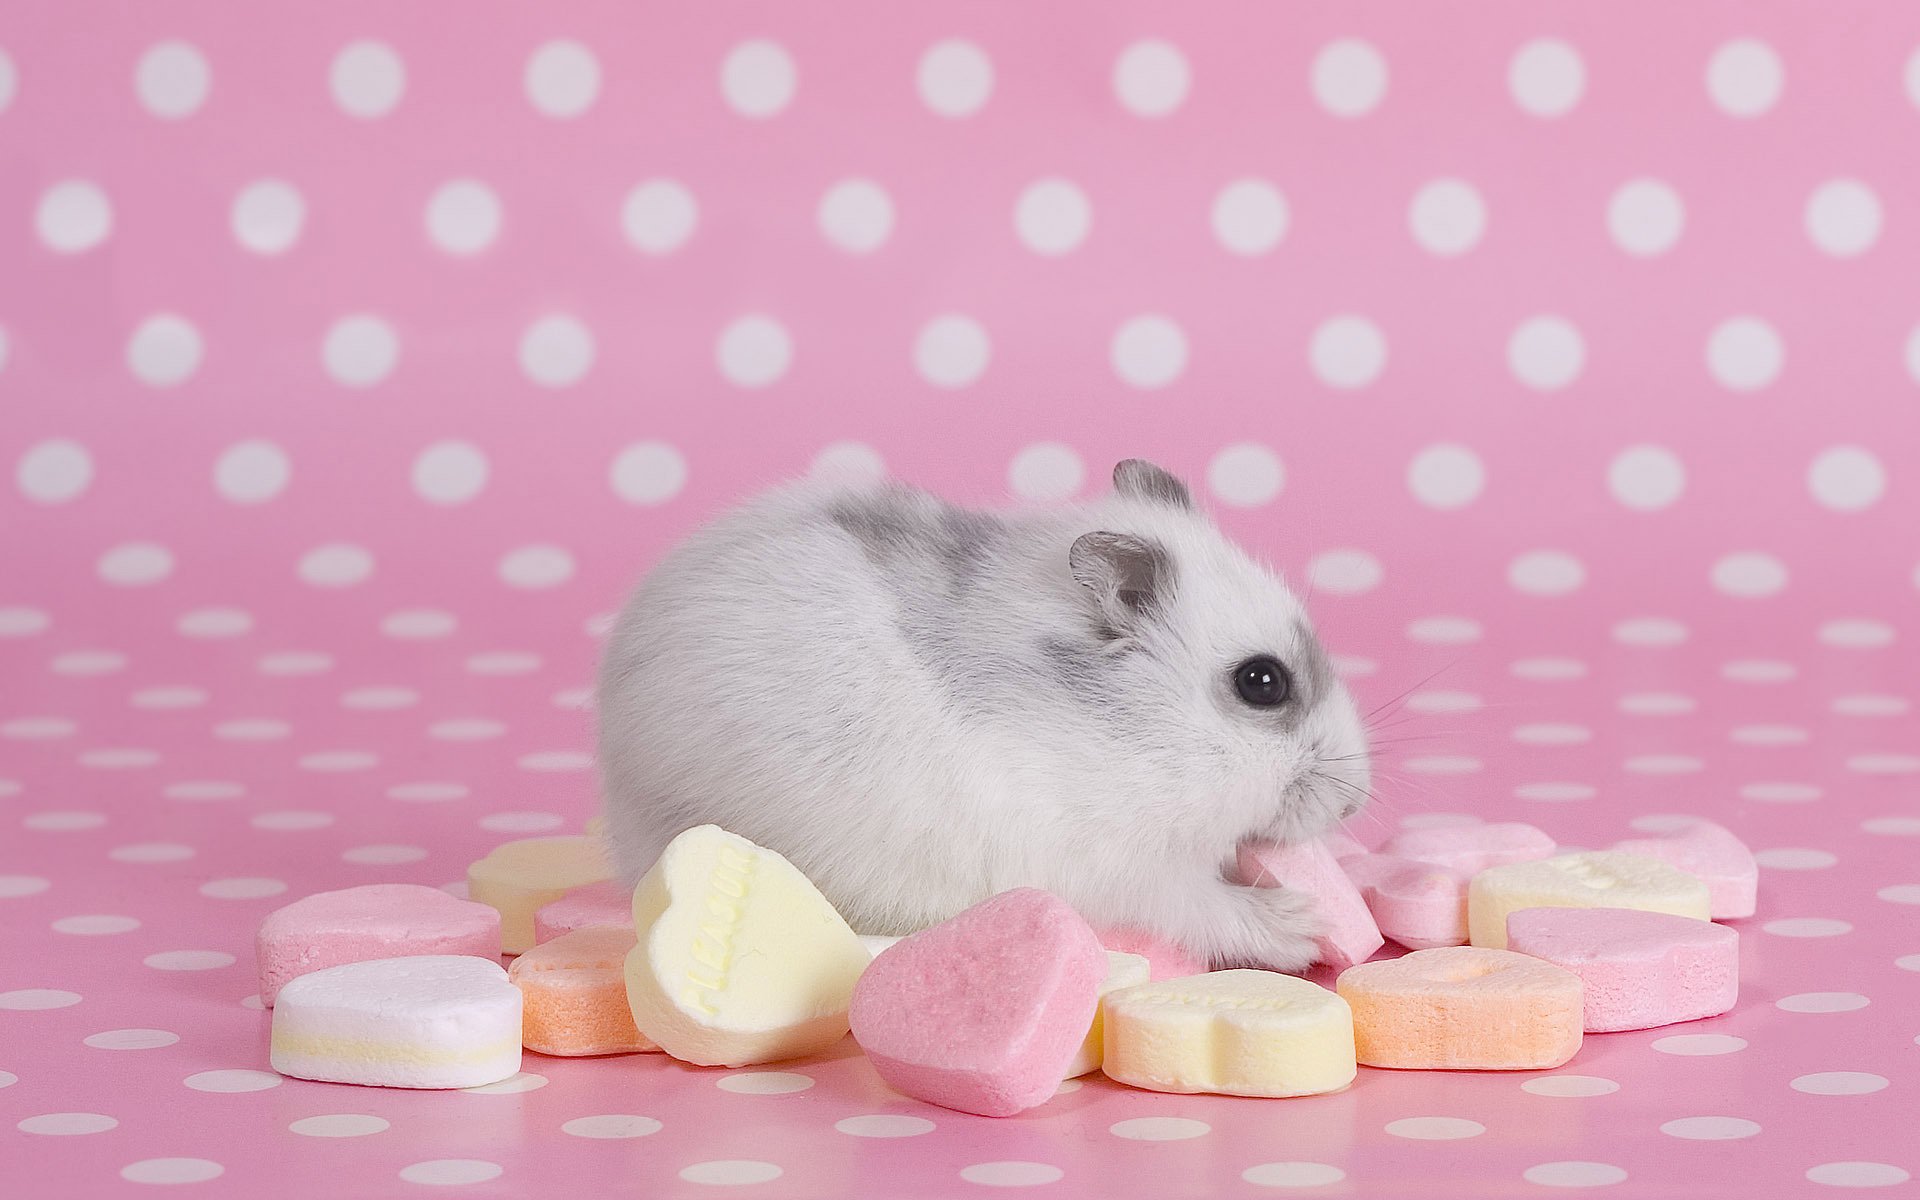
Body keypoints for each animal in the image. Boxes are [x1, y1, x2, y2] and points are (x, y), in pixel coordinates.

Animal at [595, 459, 1371, 972]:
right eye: (1262, 682)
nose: (1355, 805)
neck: (1128, 738)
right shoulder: (1117, 870)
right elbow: (1200, 903)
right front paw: (1301, 926)